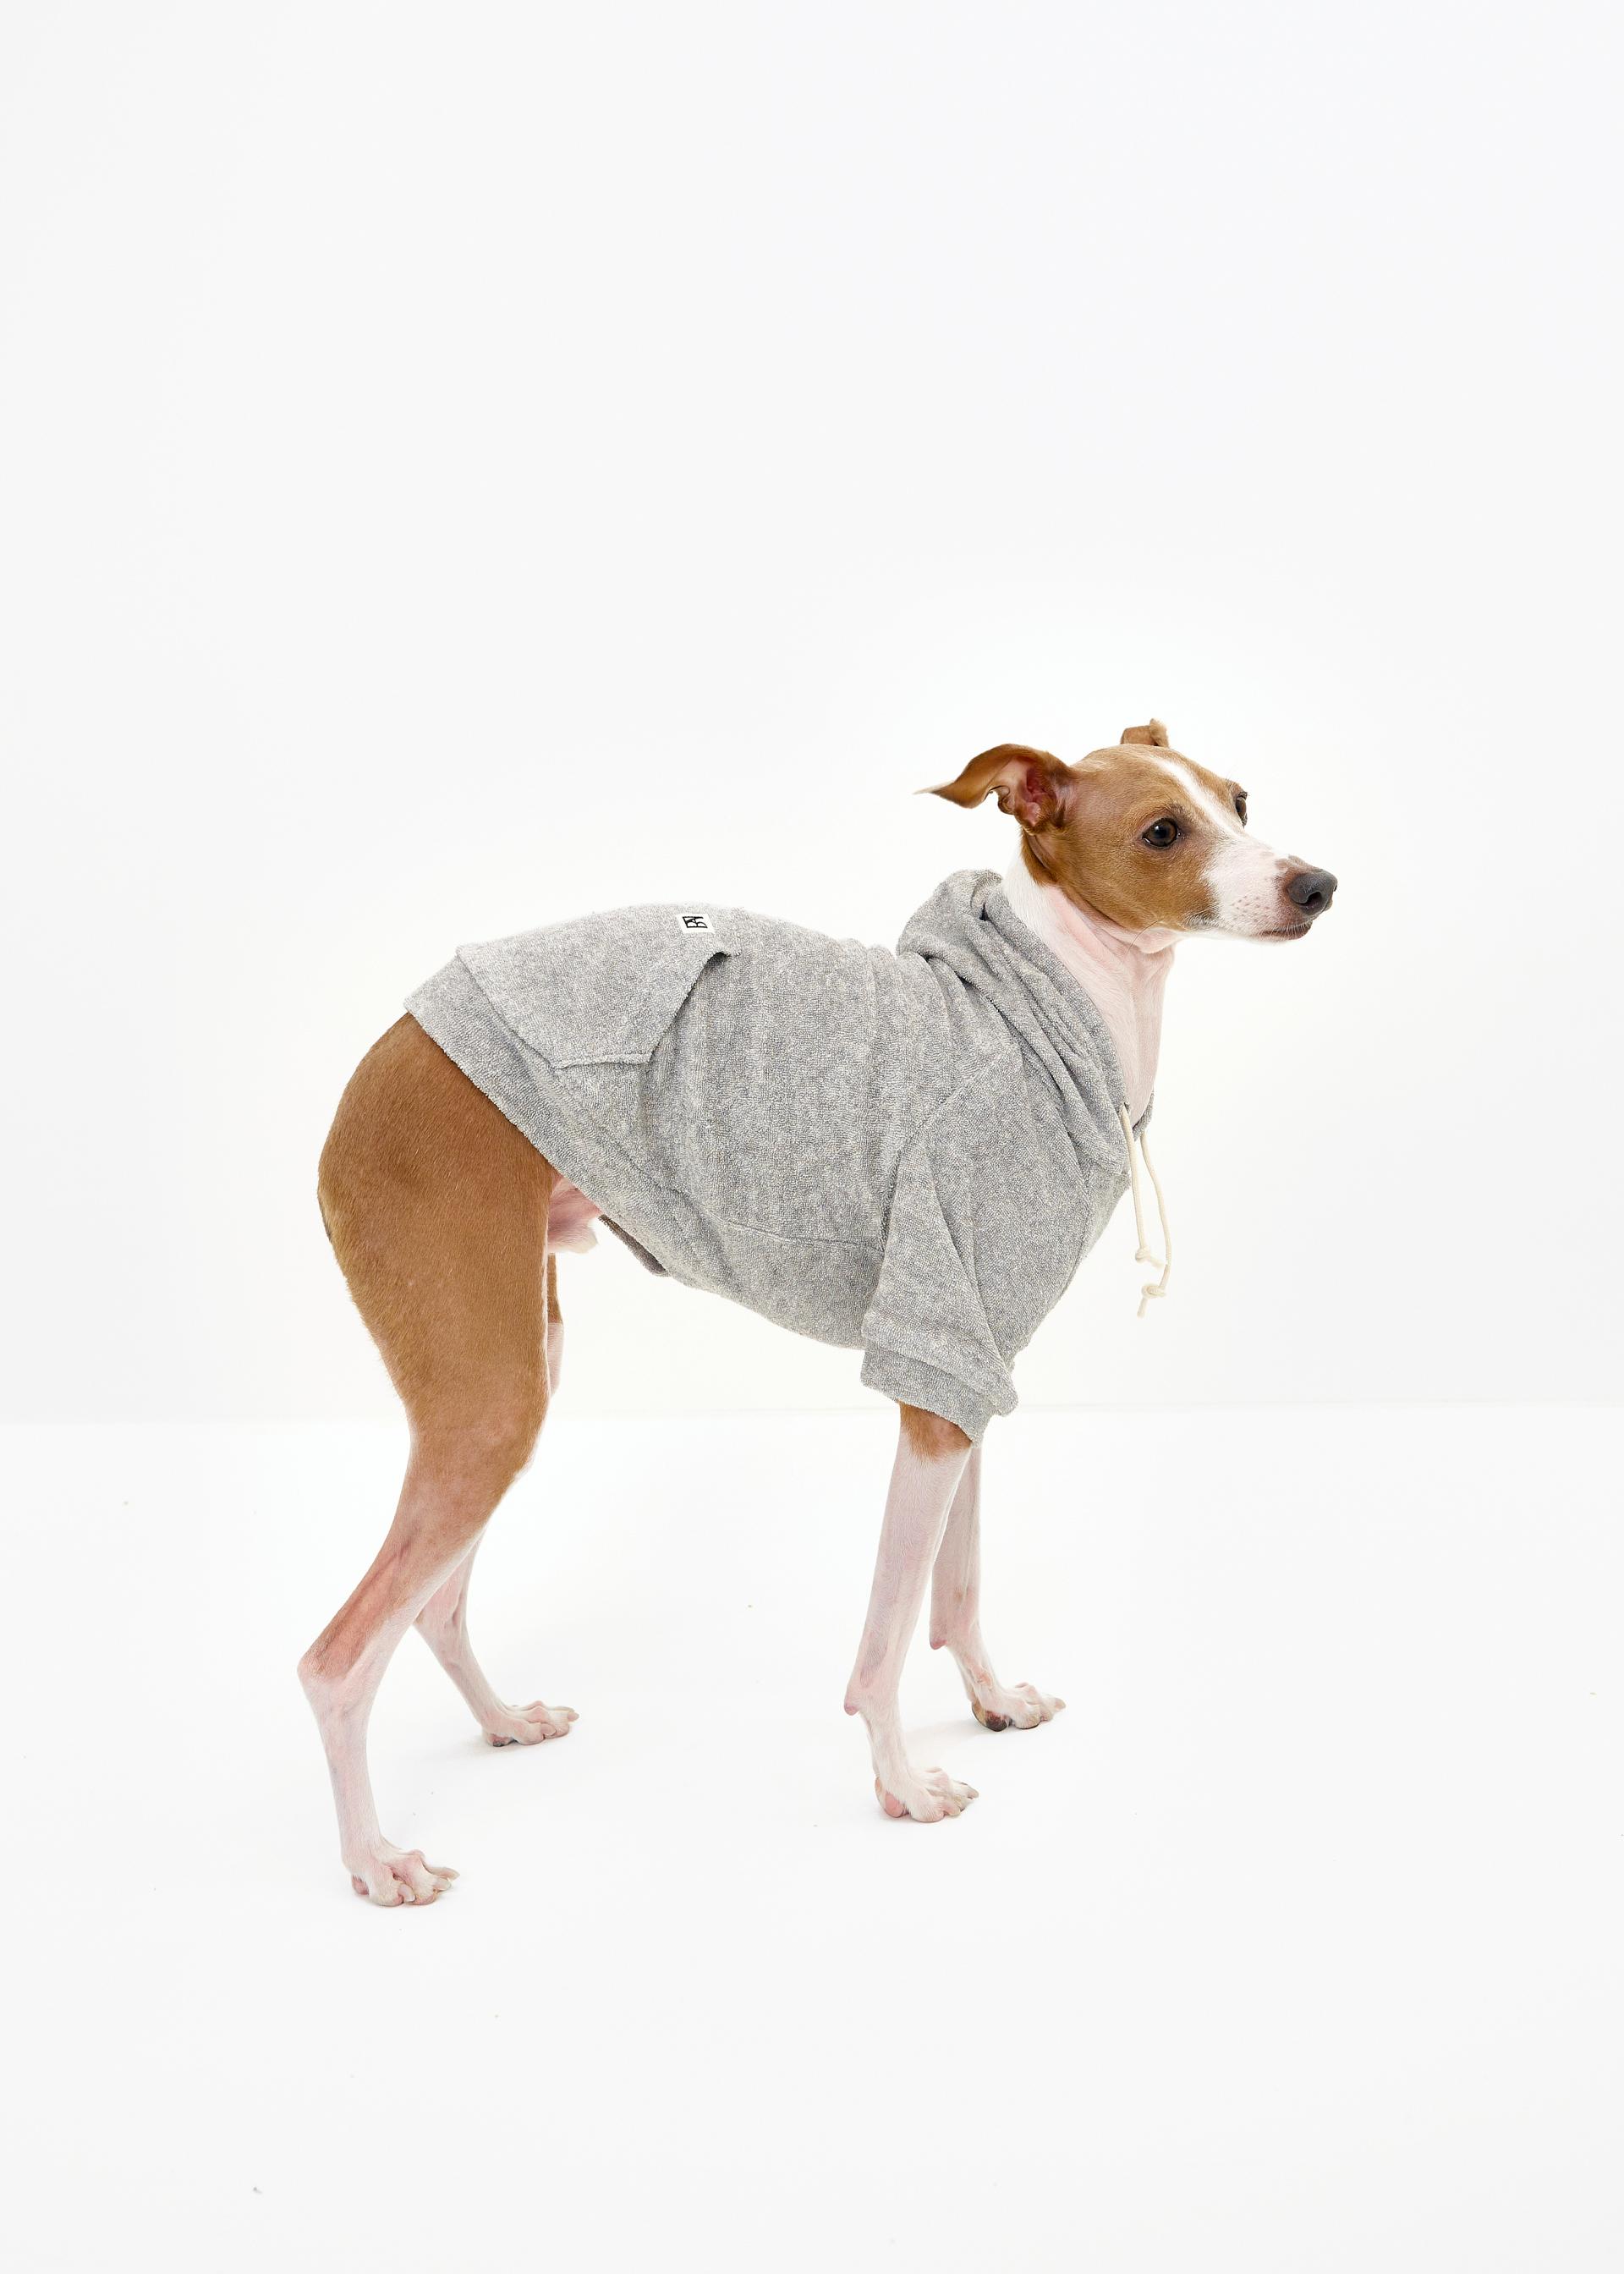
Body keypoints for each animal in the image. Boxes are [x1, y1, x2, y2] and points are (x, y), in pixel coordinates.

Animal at [301, 721, 1336, 1904]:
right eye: (1163, 831)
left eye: (1240, 801)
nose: (1317, 885)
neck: (1055, 1009)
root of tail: (380, 1055)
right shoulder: (931, 1367)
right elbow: (885, 1638)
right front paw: (907, 1787)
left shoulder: (970, 1368)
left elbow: (959, 1589)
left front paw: (994, 1704)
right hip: (487, 1401)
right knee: (336, 1660)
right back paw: (376, 1862)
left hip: (516, 1376)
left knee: (432, 1605)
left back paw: (506, 1723)